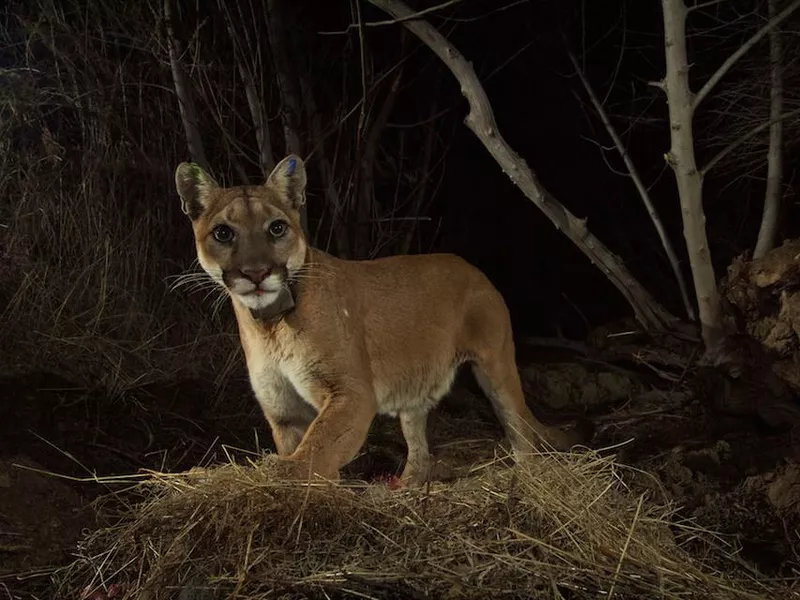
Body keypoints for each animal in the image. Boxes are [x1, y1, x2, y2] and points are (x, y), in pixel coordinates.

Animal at [175, 155, 588, 488]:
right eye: (223, 233)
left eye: (276, 227)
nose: (256, 272)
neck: (269, 324)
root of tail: (473, 268)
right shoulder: (283, 412)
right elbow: (310, 451)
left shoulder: (352, 393)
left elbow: (316, 450)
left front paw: (281, 478)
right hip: (415, 386)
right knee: (419, 447)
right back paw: (403, 489)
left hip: (496, 366)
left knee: (520, 428)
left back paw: (528, 481)